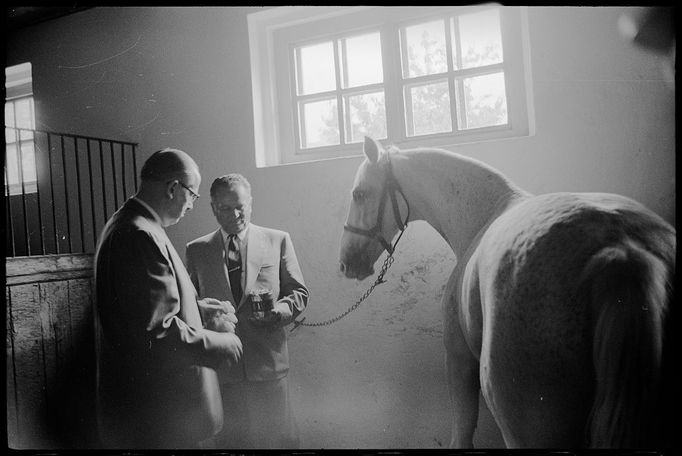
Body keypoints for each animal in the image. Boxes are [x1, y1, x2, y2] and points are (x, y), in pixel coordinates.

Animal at [338, 136, 672, 448]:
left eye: (358, 193)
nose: (345, 263)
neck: (483, 215)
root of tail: (622, 248)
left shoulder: (459, 361)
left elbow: (461, 437)